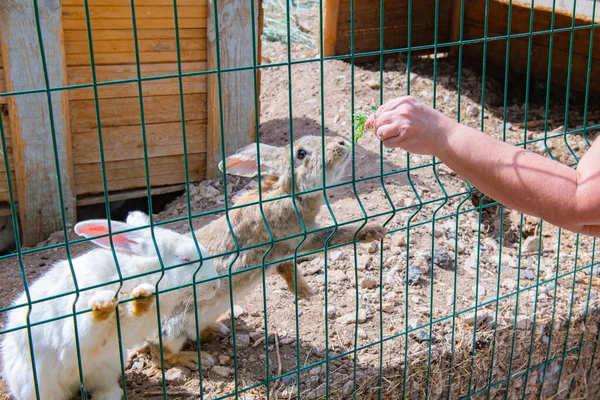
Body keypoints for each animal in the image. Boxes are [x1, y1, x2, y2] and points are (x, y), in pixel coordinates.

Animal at [0, 211, 220, 398]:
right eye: (185, 259)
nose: (215, 284)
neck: (141, 272)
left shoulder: (131, 329)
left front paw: (142, 297)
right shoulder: (76, 324)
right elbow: (87, 326)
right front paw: (104, 303)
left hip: (107, 366)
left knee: (103, 389)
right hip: (36, 384)